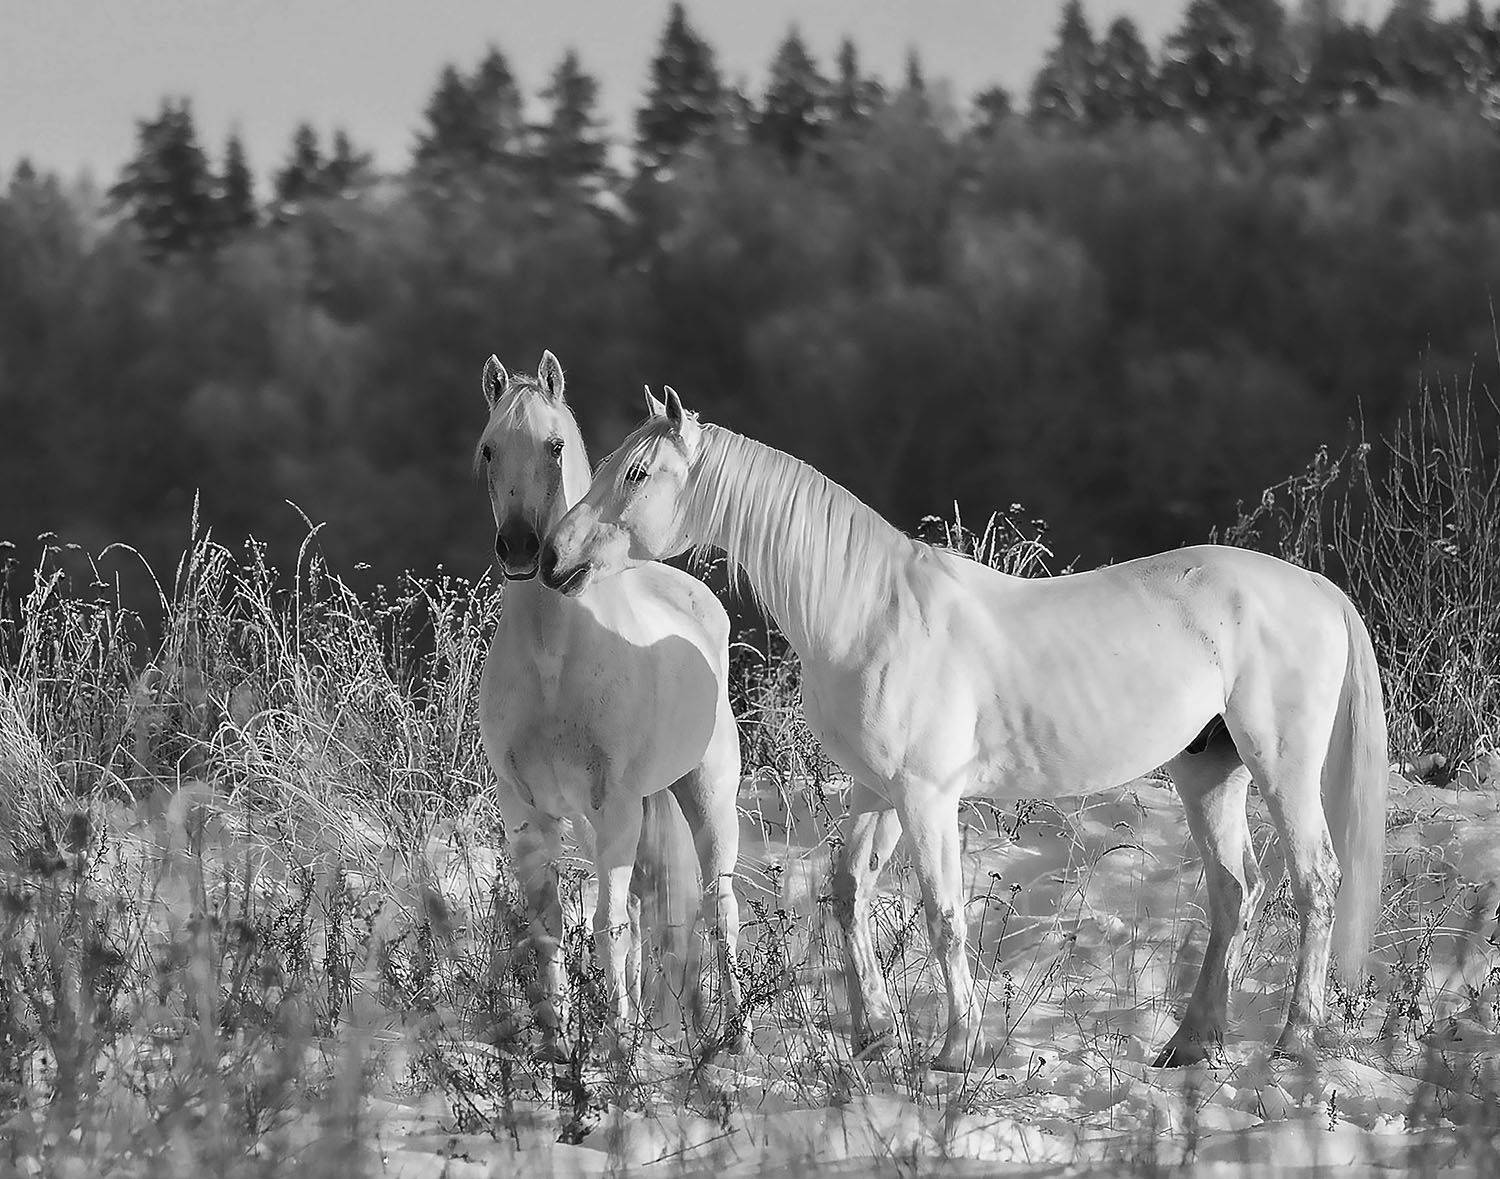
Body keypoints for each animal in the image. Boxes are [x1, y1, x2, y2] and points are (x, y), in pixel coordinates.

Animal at [474, 355, 746, 1060]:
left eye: (554, 444)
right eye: (488, 448)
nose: (522, 549)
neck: (553, 658)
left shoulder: (615, 806)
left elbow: (608, 929)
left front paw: (620, 1049)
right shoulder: (528, 815)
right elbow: (548, 930)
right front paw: (556, 1045)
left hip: (705, 796)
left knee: (719, 905)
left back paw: (735, 1035)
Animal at [541, 385, 1388, 1072]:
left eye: (637, 473)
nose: (551, 558)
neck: (869, 613)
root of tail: (1316, 588)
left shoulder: (926, 796)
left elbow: (943, 912)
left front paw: (955, 1048)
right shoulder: (877, 790)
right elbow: (849, 892)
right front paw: (874, 1034)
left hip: (1281, 767)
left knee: (1315, 881)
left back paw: (1296, 1038)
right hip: (1210, 772)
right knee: (1233, 890)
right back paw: (1190, 1043)